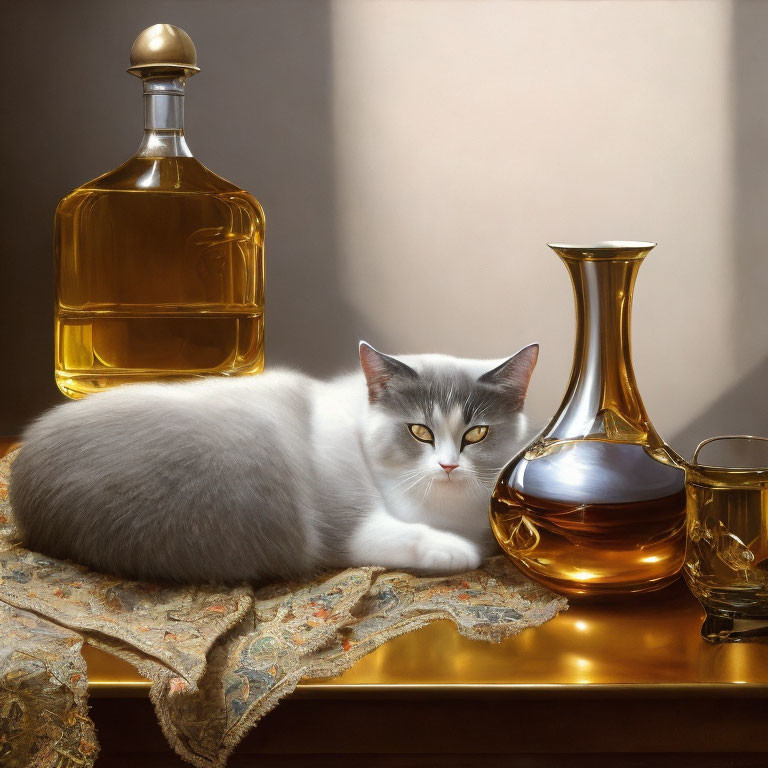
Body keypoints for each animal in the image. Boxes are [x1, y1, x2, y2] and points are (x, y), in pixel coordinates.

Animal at [9, 340, 536, 584]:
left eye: (476, 433)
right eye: (420, 431)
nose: (448, 466)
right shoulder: (354, 520)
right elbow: (410, 540)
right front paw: (458, 551)